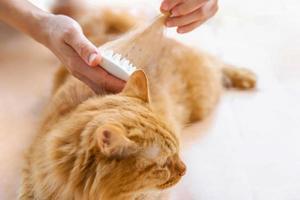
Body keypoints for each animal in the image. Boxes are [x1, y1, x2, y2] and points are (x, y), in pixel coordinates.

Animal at [19, 9, 255, 200]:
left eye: (178, 151)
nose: (184, 169)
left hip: (205, 93)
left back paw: (244, 77)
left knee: (217, 62)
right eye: (162, 165)